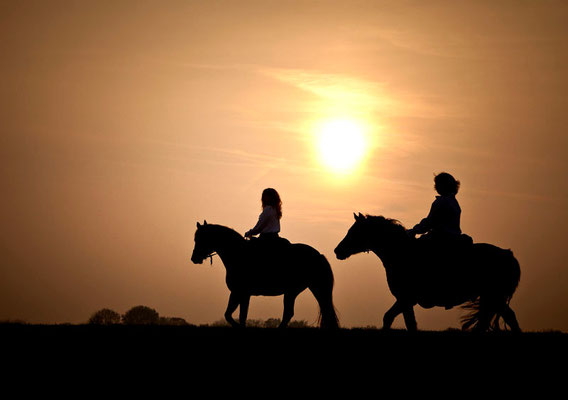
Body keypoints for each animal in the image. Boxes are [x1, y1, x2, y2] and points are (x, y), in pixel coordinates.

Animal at [191, 220, 340, 330]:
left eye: (201, 238)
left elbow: (238, 315)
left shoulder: (242, 292)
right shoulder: (238, 293)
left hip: (299, 290)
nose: (194, 258)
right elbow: (232, 314)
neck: (238, 255)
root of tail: (318, 255)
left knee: (296, 312)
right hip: (299, 290)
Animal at [336, 214, 520, 332]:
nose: (337, 250)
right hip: (492, 297)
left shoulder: (405, 298)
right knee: (502, 318)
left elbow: (401, 321)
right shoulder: (405, 300)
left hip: (494, 296)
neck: (401, 253)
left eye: (354, 231)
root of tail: (509, 254)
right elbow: (398, 320)